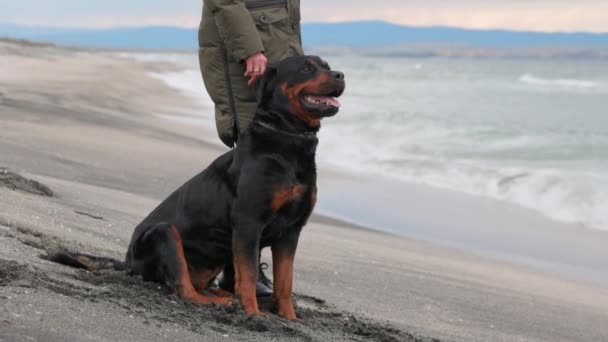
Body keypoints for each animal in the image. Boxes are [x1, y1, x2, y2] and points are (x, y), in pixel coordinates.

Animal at [50, 54, 344, 320]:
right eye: (306, 68)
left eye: (327, 66)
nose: (340, 75)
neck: (288, 139)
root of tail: (128, 263)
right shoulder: (249, 222)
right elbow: (248, 275)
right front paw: (253, 314)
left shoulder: (291, 231)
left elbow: (285, 283)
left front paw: (290, 319)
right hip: (164, 232)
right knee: (183, 288)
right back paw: (215, 301)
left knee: (196, 284)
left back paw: (221, 295)